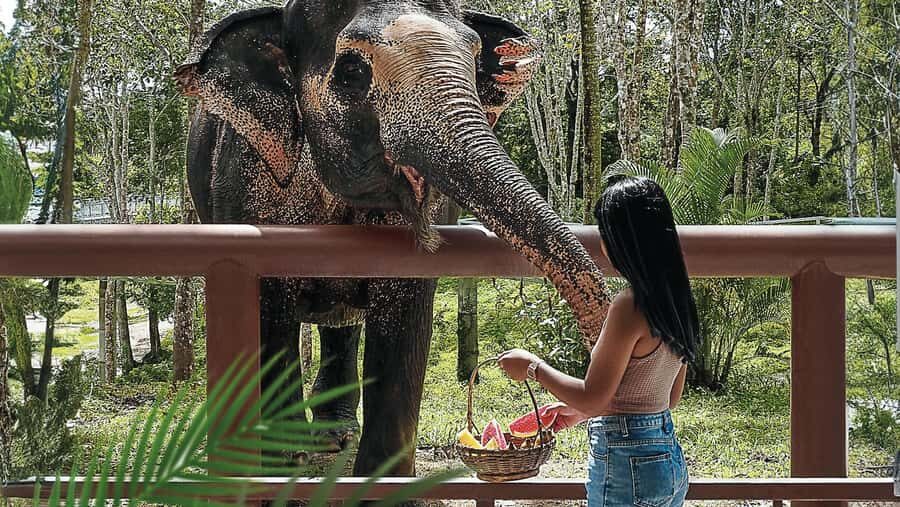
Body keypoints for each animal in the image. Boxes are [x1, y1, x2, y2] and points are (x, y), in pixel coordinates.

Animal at [175, 0, 610, 478]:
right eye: (351, 71)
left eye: (474, 56)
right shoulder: (246, 184)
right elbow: (267, 320)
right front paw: (278, 465)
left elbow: (405, 318)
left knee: (341, 324)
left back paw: (333, 436)